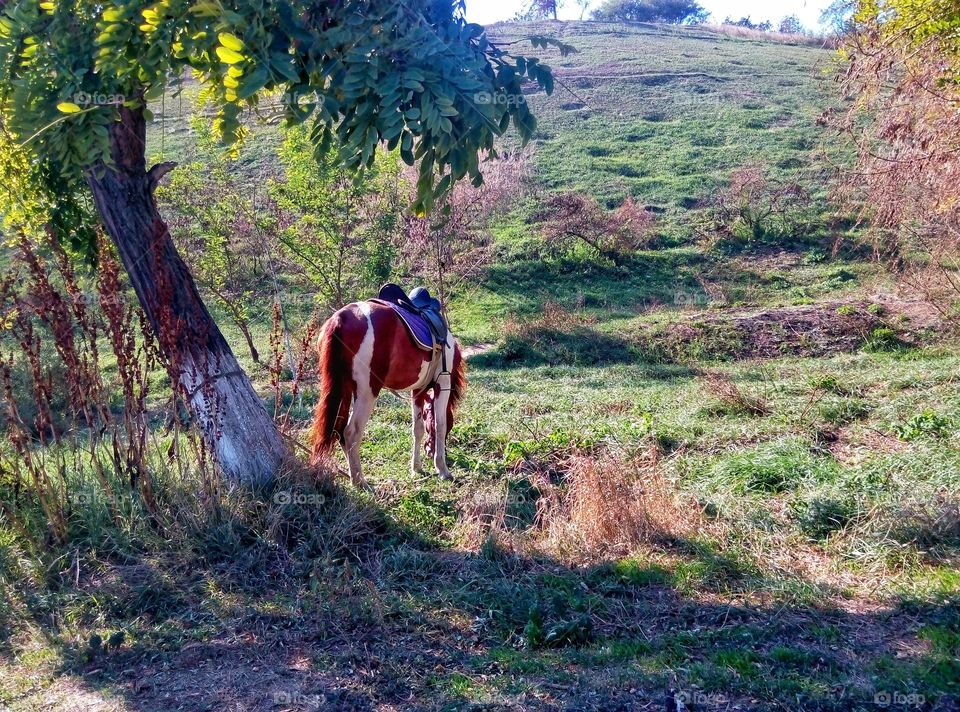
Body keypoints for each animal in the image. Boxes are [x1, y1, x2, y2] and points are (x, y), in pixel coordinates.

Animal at [309, 300, 466, 488]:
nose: (430, 451)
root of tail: (340, 318)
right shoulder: (442, 384)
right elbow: (440, 425)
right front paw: (442, 469)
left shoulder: (418, 390)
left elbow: (418, 429)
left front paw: (416, 468)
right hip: (367, 392)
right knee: (351, 433)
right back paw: (359, 481)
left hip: (344, 390)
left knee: (339, 431)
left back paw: (353, 475)